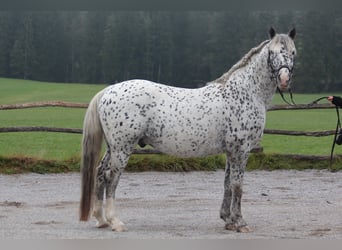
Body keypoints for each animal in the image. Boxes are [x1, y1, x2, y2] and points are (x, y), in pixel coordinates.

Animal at [79, 27, 296, 232]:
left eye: (293, 52)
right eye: (273, 52)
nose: (285, 79)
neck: (245, 92)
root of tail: (107, 91)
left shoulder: (230, 151)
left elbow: (227, 183)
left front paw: (228, 220)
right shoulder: (241, 150)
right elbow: (237, 185)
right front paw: (240, 223)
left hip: (113, 147)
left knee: (100, 173)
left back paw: (101, 219)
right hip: (122, 148)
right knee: (111, 177)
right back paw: (115, 221)